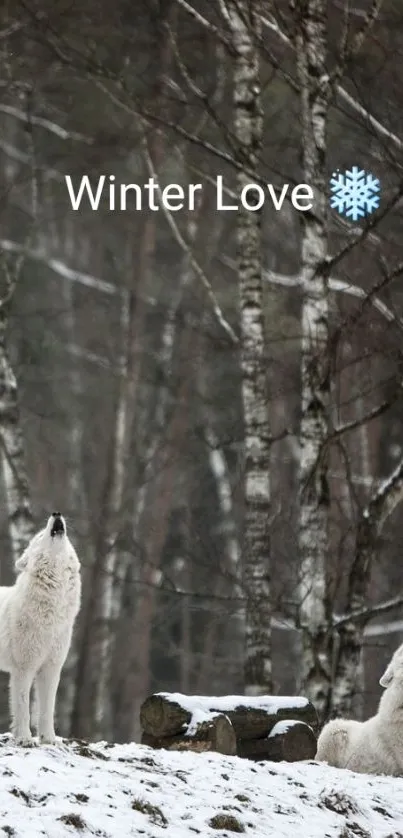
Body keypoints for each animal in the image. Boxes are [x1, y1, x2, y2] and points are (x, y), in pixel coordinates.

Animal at [0, 516, 81, 744]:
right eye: (39, 536)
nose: (56, 514)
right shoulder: (23, 668)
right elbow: (23, 707)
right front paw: (24, 739)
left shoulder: (51, 668)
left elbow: (47, 709)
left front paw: (48, 739)